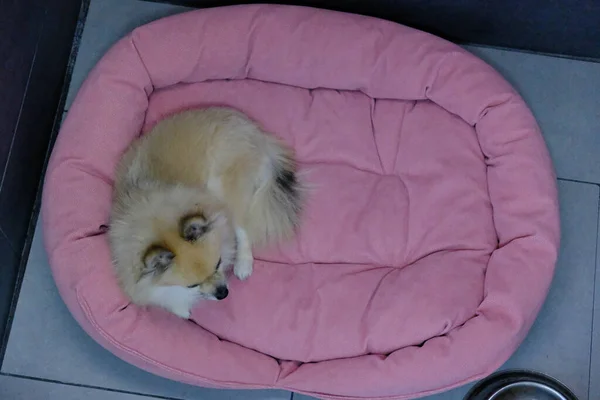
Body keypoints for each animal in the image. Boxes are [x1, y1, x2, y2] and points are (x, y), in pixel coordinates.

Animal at [108, 107, 302, 318]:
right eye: (192, 285)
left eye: (218, 264)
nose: (223, 293)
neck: (155, 219)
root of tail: (258, 134)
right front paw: (181, 308)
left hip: (226, 187)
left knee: (242, 228)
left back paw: (243, 264)